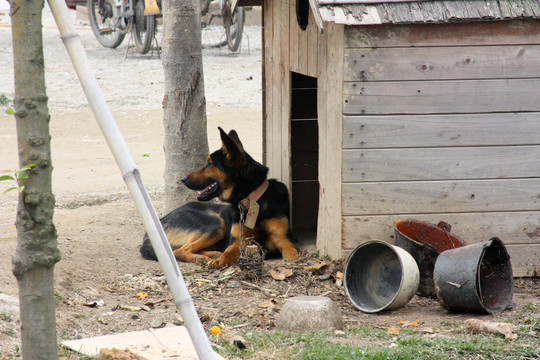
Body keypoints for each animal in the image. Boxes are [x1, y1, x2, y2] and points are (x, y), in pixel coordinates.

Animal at [140, 126, 300, 268]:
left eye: (209, 163)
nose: (183, 179)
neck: (253, 200)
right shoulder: (239, 242)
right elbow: (228, 253)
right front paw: (220, 261)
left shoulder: (284, 239)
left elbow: (293, 254)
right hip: (214, 225)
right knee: (179, 250)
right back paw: (205, 258)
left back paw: (210, 255)